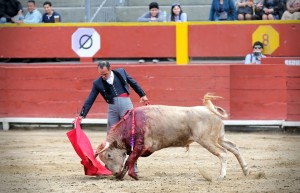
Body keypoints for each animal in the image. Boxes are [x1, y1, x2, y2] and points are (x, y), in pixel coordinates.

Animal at [95, 94, 250, 180]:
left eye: (108, 155)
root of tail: (209, 109)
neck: (130, 124)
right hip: (219, 138)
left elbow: (130, 160)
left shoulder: (140, 145)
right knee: (234, 148)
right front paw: (122, 176)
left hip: (207, 140)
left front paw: (133, 176)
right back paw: (246, 170)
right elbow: (129, 161)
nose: (114, 173)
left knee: (223, 153)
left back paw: (221, 176)